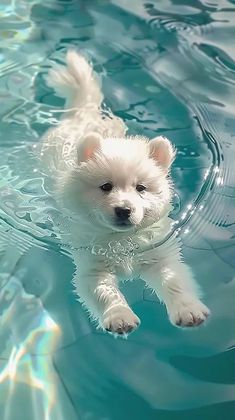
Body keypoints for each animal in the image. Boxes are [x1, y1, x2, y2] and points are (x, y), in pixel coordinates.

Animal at [41, 51, 210, 334]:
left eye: (141, 188)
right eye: (105, 186)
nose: (124, 209)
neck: (121, 241)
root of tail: (83, 113)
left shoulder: (158, 251)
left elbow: (174, 280)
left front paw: (188, 310)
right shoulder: (91, 264)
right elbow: (103, 290)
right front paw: (119, 317)